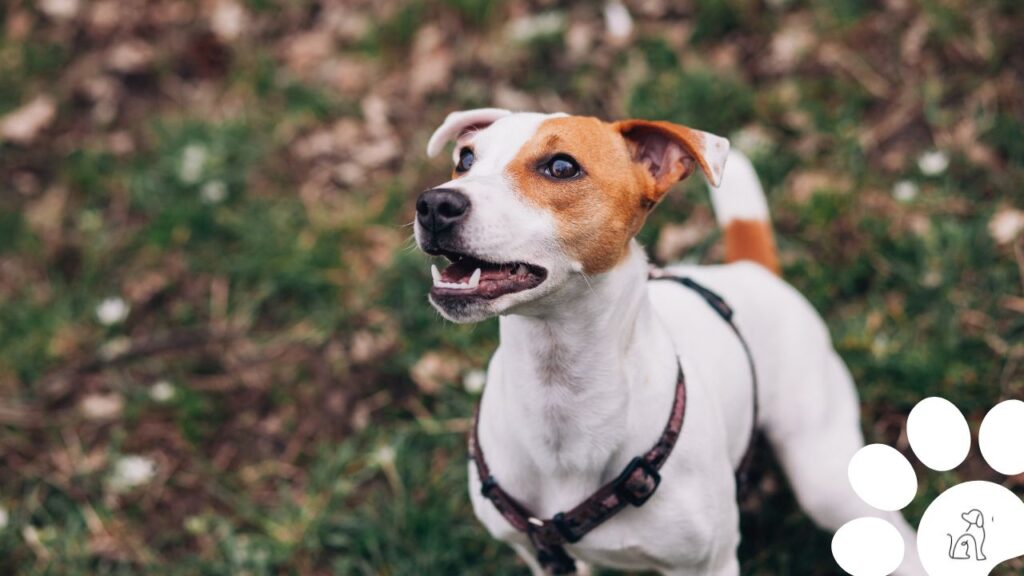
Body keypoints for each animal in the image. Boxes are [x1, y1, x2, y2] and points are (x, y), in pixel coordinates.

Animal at [411, 108, 925, 573]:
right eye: (465, 159)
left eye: (561, 167)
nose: (435, 204)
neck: (558, 388)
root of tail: (751, 270)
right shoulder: (545, 557)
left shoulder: (708, 564)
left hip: (825, 475)